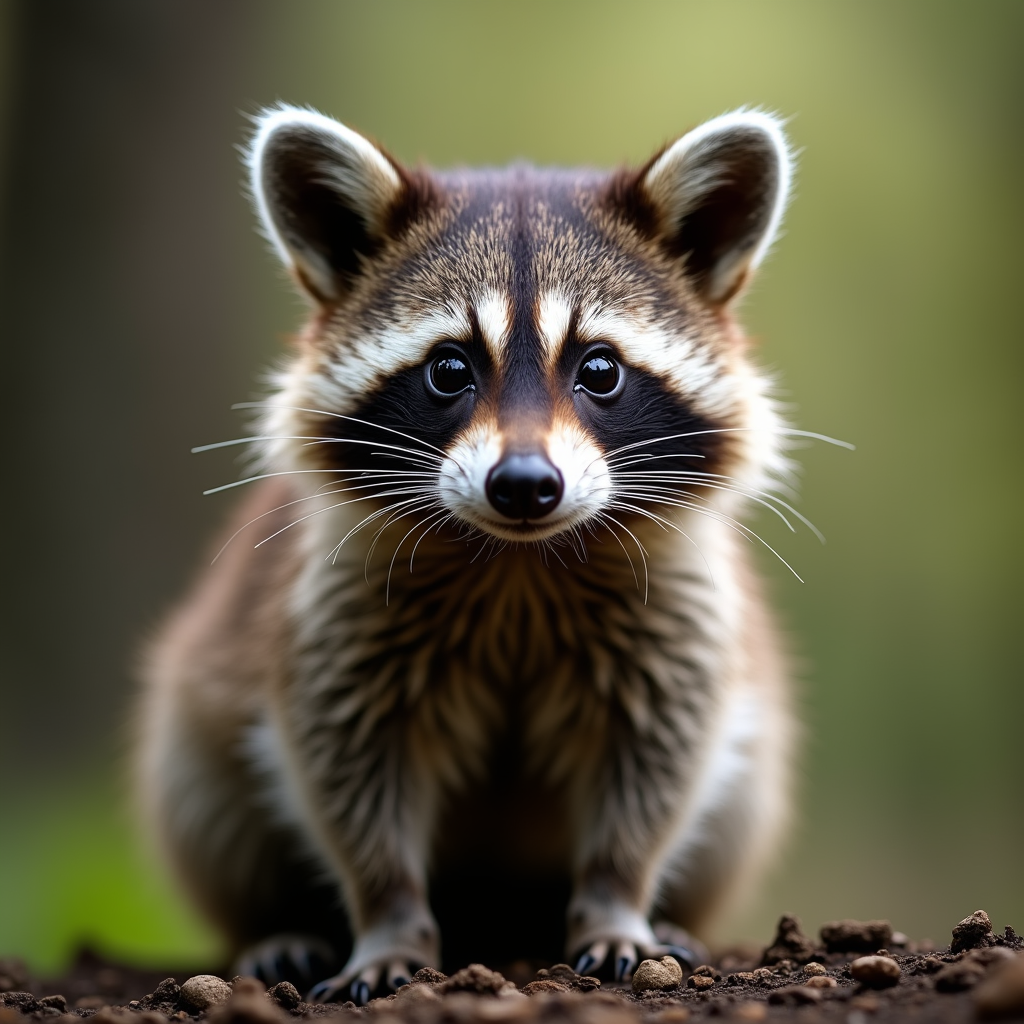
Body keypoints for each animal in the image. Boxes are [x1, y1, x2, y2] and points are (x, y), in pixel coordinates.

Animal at [138, 105, 801, 1003]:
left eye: (600, 368)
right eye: (449, 368)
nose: (523, 485)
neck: (517, 564)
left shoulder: (675, 610)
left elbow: (656, 763)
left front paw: (616, 897)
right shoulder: (336, 610)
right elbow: (345, 768)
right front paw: (387, 919)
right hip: (195, 722)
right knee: (204, 802)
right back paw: (273, 926)